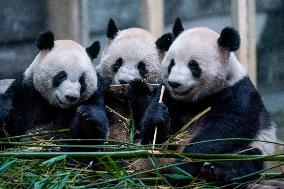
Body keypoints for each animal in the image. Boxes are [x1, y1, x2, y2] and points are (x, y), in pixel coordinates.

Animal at [129, 18, 276, 185]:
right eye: (171, 63)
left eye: (193, 65)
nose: (174, 83)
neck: (198, 98)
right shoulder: (168, 95)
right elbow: (156, 139)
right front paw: (157, 118)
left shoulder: (238, 94)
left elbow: (223, 129)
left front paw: (181, 169)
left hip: (258, 145)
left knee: (246, 159)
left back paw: (216, 172)